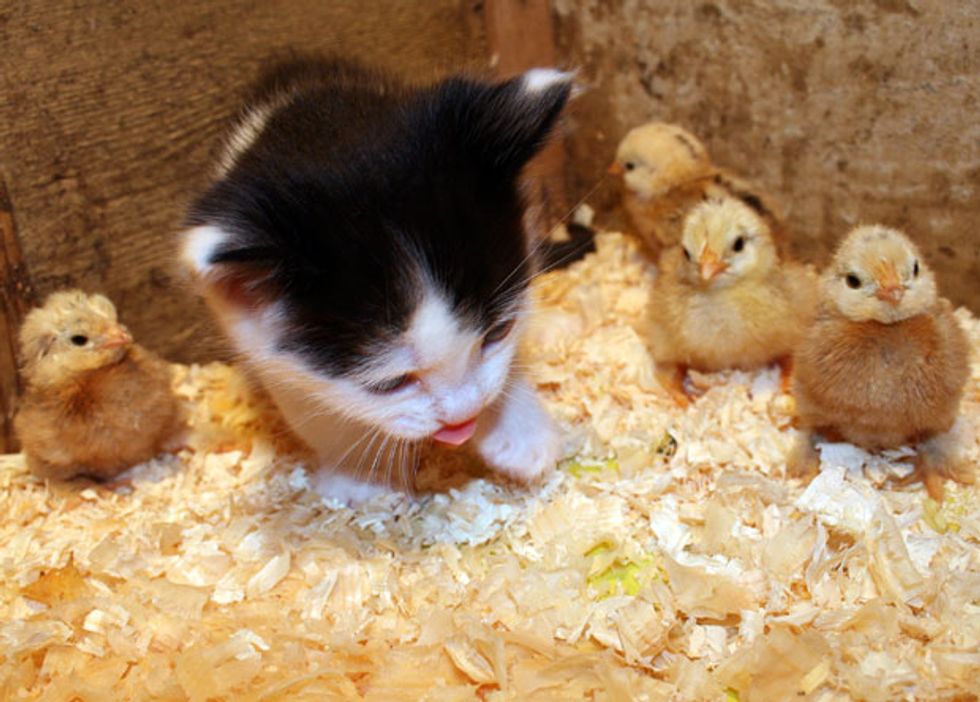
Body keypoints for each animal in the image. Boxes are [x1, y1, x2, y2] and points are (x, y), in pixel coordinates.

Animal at [180, 57, 572, 503]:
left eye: (497, 333)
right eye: (390, 384)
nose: (462, 418)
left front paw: (520, 431)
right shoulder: (251, 335)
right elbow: (310, 406)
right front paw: (358, 474)